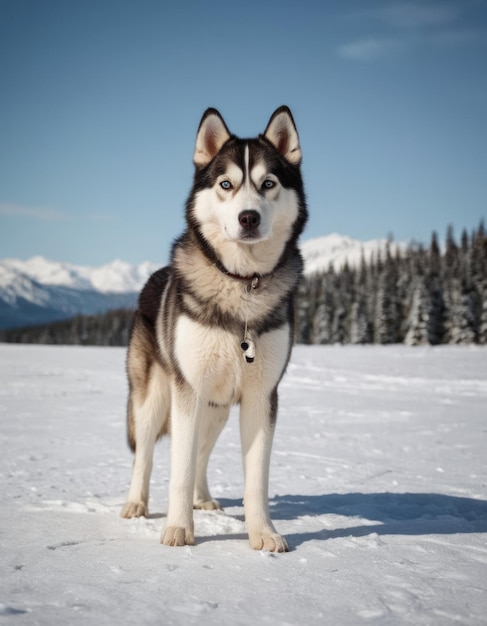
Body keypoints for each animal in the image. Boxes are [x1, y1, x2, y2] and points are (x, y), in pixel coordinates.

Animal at [120, 107, 306, 552]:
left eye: (268, 183)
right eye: (226, 184)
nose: (248, 217)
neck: (241, 283)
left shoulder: (261, 395)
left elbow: (255, 478)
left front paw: (263, 533)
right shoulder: (188, 388)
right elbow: (180, 467)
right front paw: (178, 529)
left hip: (218, 408)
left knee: (202, 453)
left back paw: (203, 499)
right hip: (155, 397)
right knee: (146, 454)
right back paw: (136, 503)